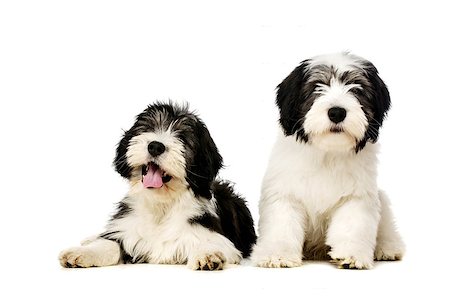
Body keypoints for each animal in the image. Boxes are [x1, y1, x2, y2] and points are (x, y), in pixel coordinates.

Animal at [253, 52, 404, 270]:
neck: (328, 152)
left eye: (356, 88)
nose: (337, 112)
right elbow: (283, 226)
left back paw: (388, 247)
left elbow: (352, 226)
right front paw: (277, 255)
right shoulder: (284, 194)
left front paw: (351, 255)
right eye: (317, 86)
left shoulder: (356, 197)